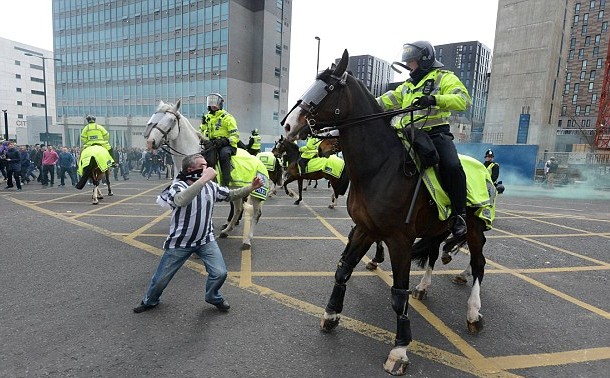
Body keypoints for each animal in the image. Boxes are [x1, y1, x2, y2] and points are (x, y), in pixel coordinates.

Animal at [144, 99, 268, 250]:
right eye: (155, 117)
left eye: (171, 120)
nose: (150, 142)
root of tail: (257, 158)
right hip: (236, 190)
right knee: (238, 209)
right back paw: (226, 230)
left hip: (256, 195)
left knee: (255, 214)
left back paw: (247, 240)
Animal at [282, 50, 486, 376]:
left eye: (328, 87)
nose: (288, 126)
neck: (380, 168)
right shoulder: (365, 229)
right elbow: (343, 270)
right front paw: (331, 314)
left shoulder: (400, 240)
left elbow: (398, 293)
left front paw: (400, 349)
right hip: (437, 227)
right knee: (433, 253)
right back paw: (425, 286)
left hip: (475, 228)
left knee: (478, 264)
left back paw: (473, 312)